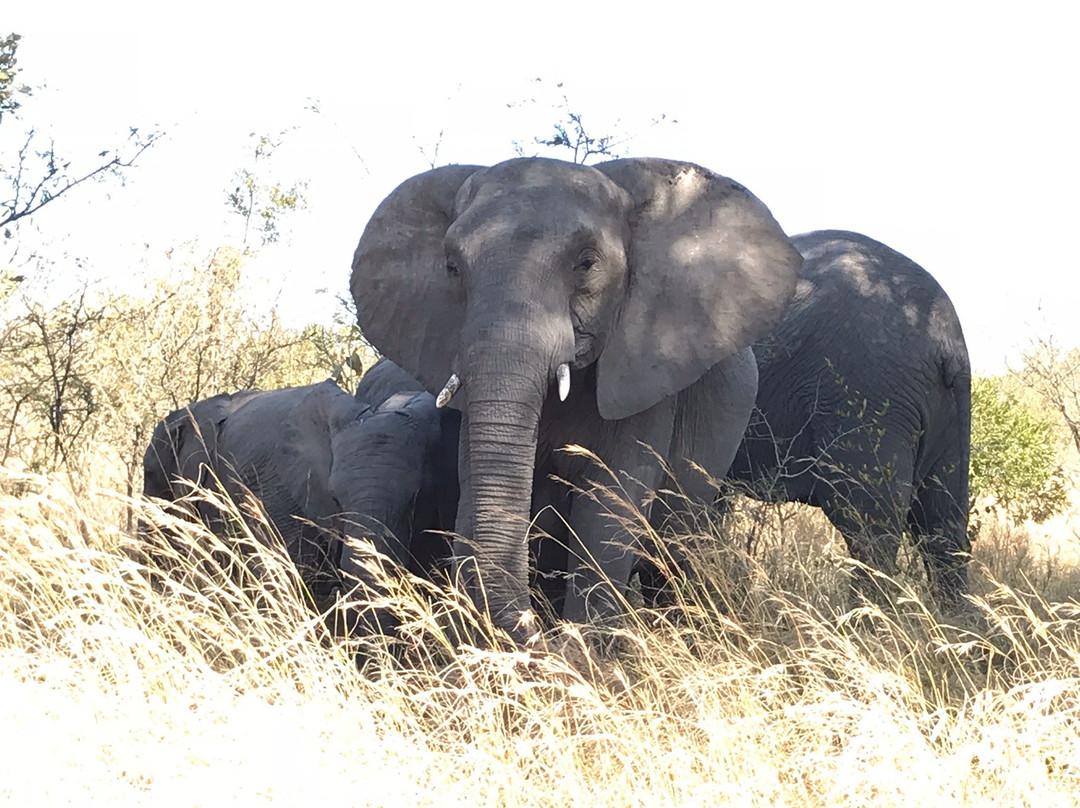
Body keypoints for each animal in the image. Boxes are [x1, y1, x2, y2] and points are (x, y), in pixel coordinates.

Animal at [347, 157, 803, 639]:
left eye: (586, 264)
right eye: (452, 267)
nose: (529, 630)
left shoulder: (645, 375)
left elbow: (609, 506)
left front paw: (581, 651)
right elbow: (475, 485)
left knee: (674, 563)